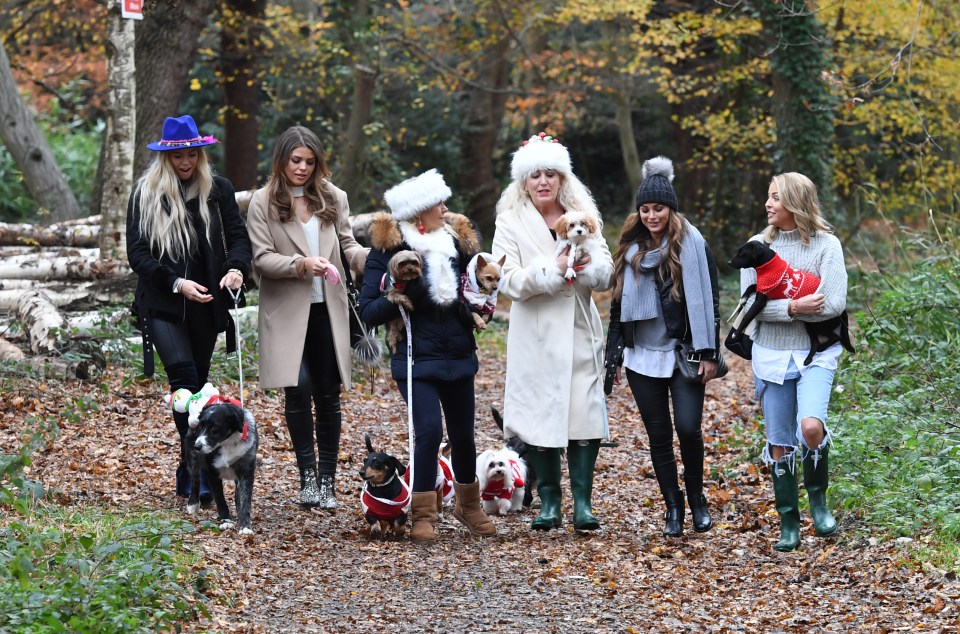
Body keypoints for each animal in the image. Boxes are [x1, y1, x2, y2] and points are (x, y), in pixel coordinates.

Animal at [185, 400, 256, 532]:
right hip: (192, 458)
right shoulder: (211, 472)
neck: (227, 443)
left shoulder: (246, 472)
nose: (197, 446)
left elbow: (245, 500)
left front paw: (245, 526)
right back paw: (193, 504)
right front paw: (226, 521)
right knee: (195, 479)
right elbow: (220, 499)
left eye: (214, 427)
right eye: (201, 426)